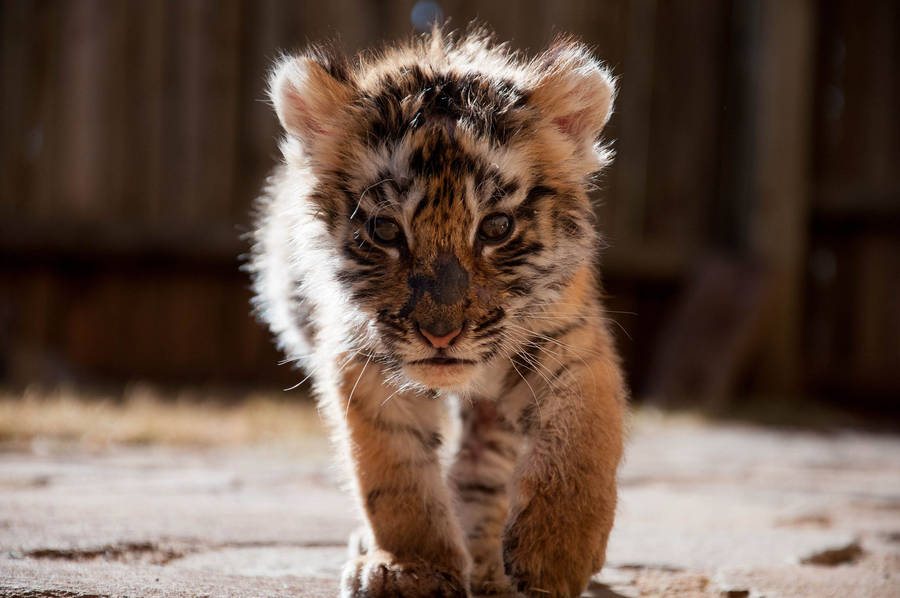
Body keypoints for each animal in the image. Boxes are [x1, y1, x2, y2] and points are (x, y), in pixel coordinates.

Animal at [250, 26, 627, 598]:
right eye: (385, 230)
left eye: (496, 227)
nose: (441, 336)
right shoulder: (361, 358)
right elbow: (393, 471)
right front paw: (411, 567)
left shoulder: (566, 336)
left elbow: (580, 435)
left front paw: (555, 554)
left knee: (487, 461)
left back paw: (489, 561)